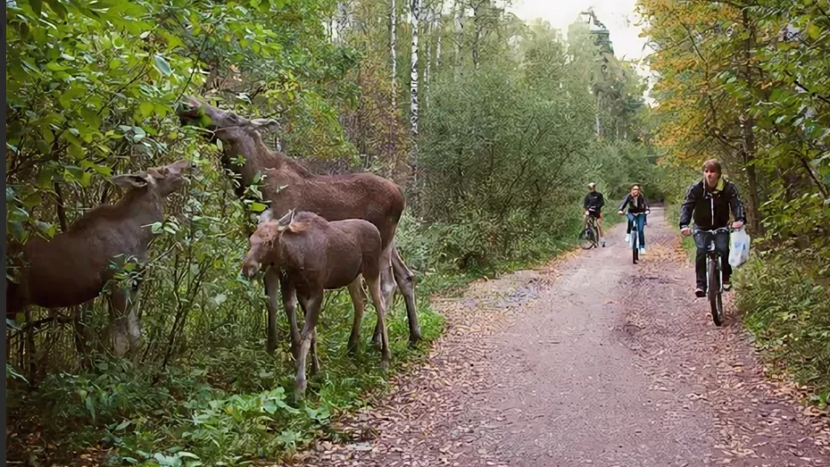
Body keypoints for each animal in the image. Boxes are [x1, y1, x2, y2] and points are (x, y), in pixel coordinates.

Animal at [6, 159, 193, 356]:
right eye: (163, 170)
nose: (191, 164)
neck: (142, 236)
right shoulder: (116, 283)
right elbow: (120, 343)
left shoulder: (135, 283)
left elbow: (136, 339)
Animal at [242, 210, 392, 400]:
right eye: (251, 239)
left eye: (268, 241)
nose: (247, 268)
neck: (295, 261)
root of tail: (376, 230)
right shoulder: (298, 291)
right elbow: (311, 334)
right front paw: (316, 371)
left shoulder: (317, 291)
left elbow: (305, 337)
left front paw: (300, 386)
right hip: (353, 277)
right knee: (360, 300)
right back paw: (352, 347)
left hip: (372, 270)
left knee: (380, 304)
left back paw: (385, 357)